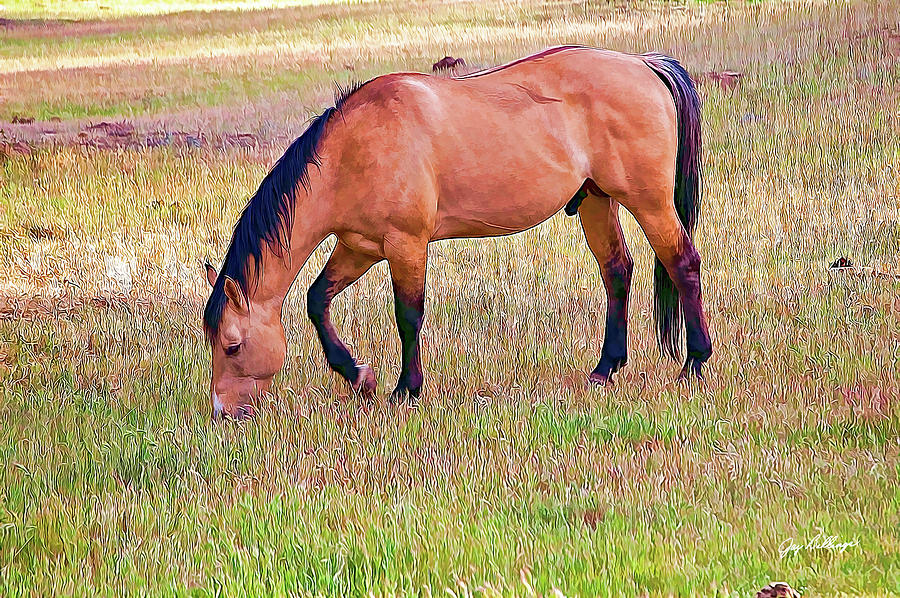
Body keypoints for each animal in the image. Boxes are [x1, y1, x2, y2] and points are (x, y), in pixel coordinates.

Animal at [202, 45, 712, 422]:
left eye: (232, 345)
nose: (224, 413)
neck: (356, 148)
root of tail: (643, 64)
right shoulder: (359, 247)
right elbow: (316, 300)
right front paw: (359, 376)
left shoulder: (405, 245)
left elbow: (408, 316)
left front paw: (405, 390)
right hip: (596, 201)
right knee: (617, 272)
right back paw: (606, 369)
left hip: (649, 202)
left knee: (682, 264)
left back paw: (695, 363)